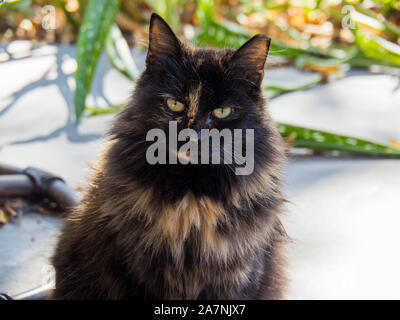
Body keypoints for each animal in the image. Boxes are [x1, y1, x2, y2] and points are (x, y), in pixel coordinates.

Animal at [51, 12, 288, 300]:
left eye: (222, 111)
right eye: (175, 104)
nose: (191, 135)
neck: (193, 196)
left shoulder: (239, 274)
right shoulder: (136, 267)